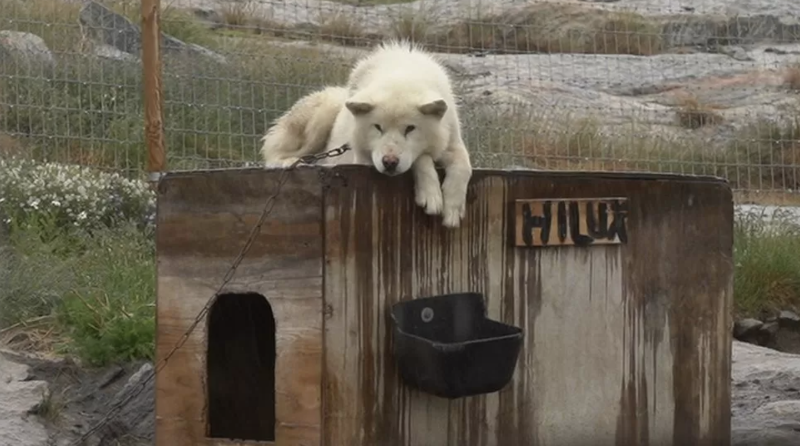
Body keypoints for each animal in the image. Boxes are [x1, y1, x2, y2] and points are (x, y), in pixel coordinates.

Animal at [260, 40, 472, 228]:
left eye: (410, 128)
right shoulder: (365, 159)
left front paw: (453, 209)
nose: (389, 162)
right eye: (377, 127)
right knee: (273, 152)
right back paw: (291, 162)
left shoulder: (452, 141)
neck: (402, 73)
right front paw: (431, 196)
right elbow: (422, 158)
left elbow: (464, 166)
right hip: (321, 117)